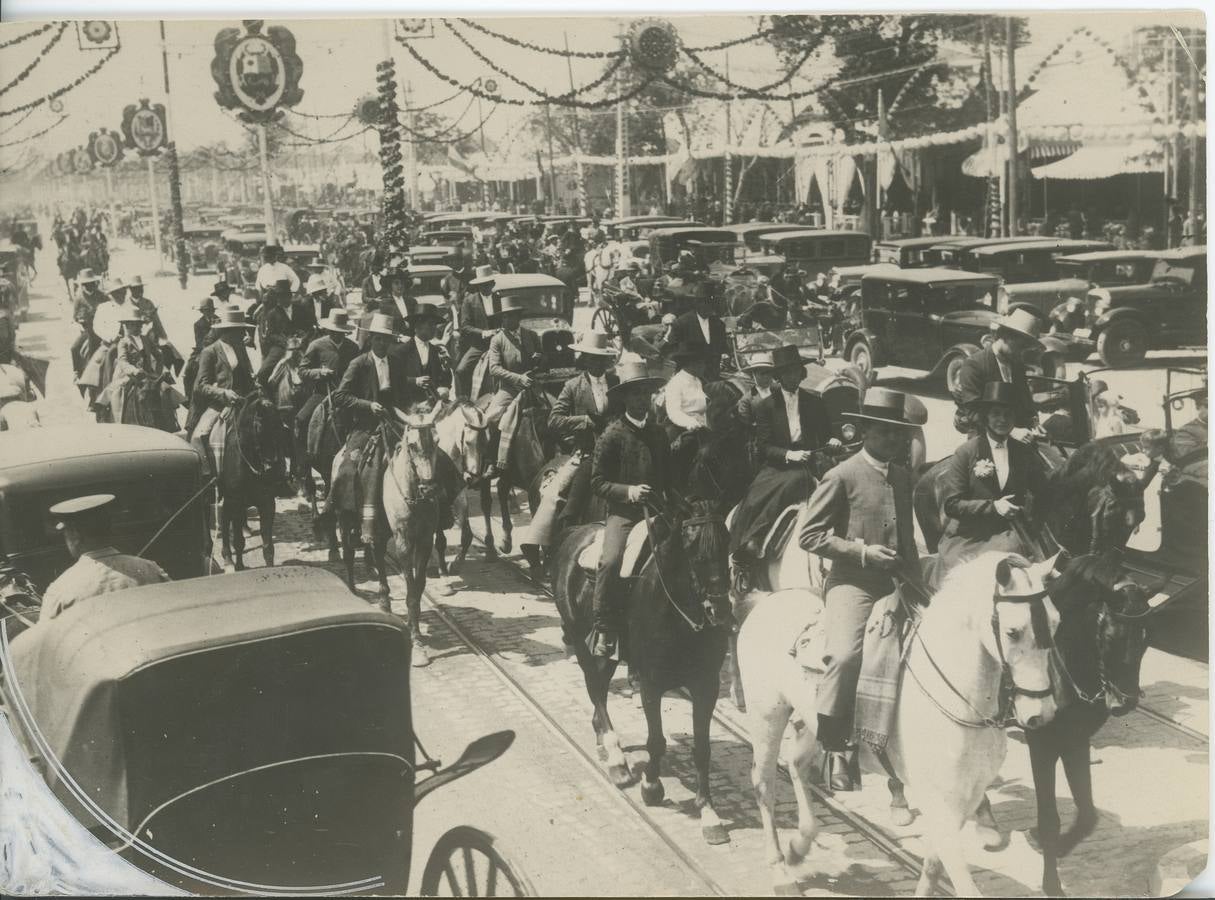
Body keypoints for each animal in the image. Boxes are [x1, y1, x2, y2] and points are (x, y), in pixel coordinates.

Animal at [551, 497, 729, 840]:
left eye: (727, 544)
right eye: (694, 551)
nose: (721, 609)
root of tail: (576, 532)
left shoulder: (707, 685)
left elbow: (702, 749)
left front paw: (710, 813)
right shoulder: (651, 682)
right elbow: (656, 740)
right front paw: (652, 786)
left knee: (598, 694)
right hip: (587, 645)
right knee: (596, 691)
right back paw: (617, 761)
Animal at [733, 551, 1059, 893]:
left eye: (1055, 622)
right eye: (1013, 631)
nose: (1042, 712)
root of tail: (769, 600)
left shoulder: (964, 798)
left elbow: (933, 866)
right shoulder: (939, 802)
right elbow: (962, 881)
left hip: (815, 720)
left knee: (797, 765)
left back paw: (799, 845)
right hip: (767, 715)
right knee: (764, 783)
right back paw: (780, 870)